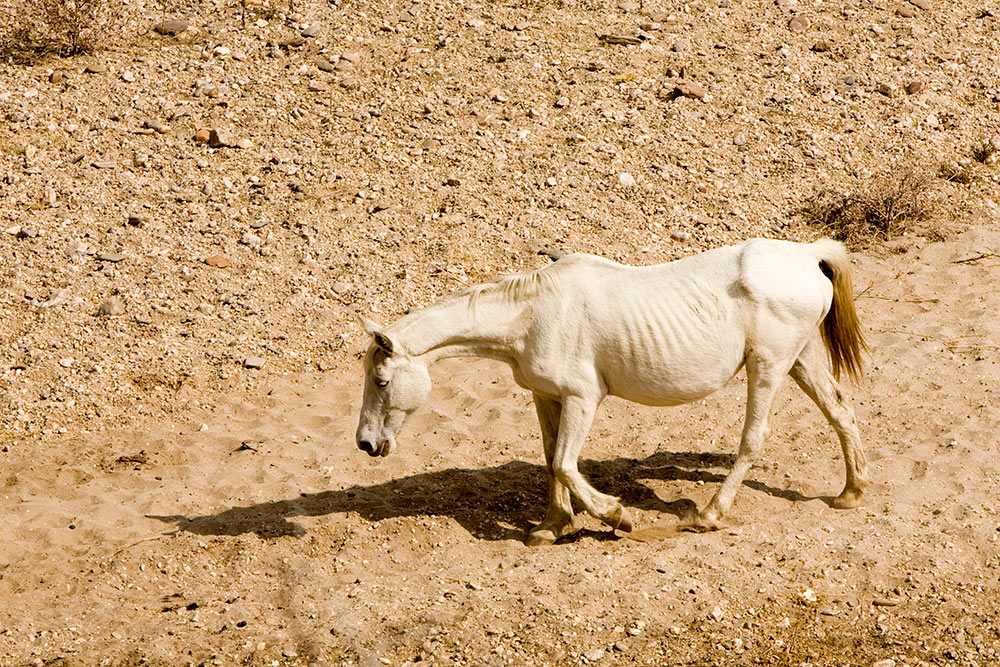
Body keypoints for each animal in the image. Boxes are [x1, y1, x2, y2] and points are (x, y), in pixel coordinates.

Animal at [358, 240, 868, 548]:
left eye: (381, 381)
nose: (366, 443)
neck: (532, 315)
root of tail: (808, 255)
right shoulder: (547, 397)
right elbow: (551, 461)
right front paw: (550, 527)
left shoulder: (583, 399)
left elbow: (566, 464)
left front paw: (617, 516)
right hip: (800, 360)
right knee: (841, 412)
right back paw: (851, 493)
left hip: (768, 367)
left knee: (753, 441)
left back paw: (707, 515)